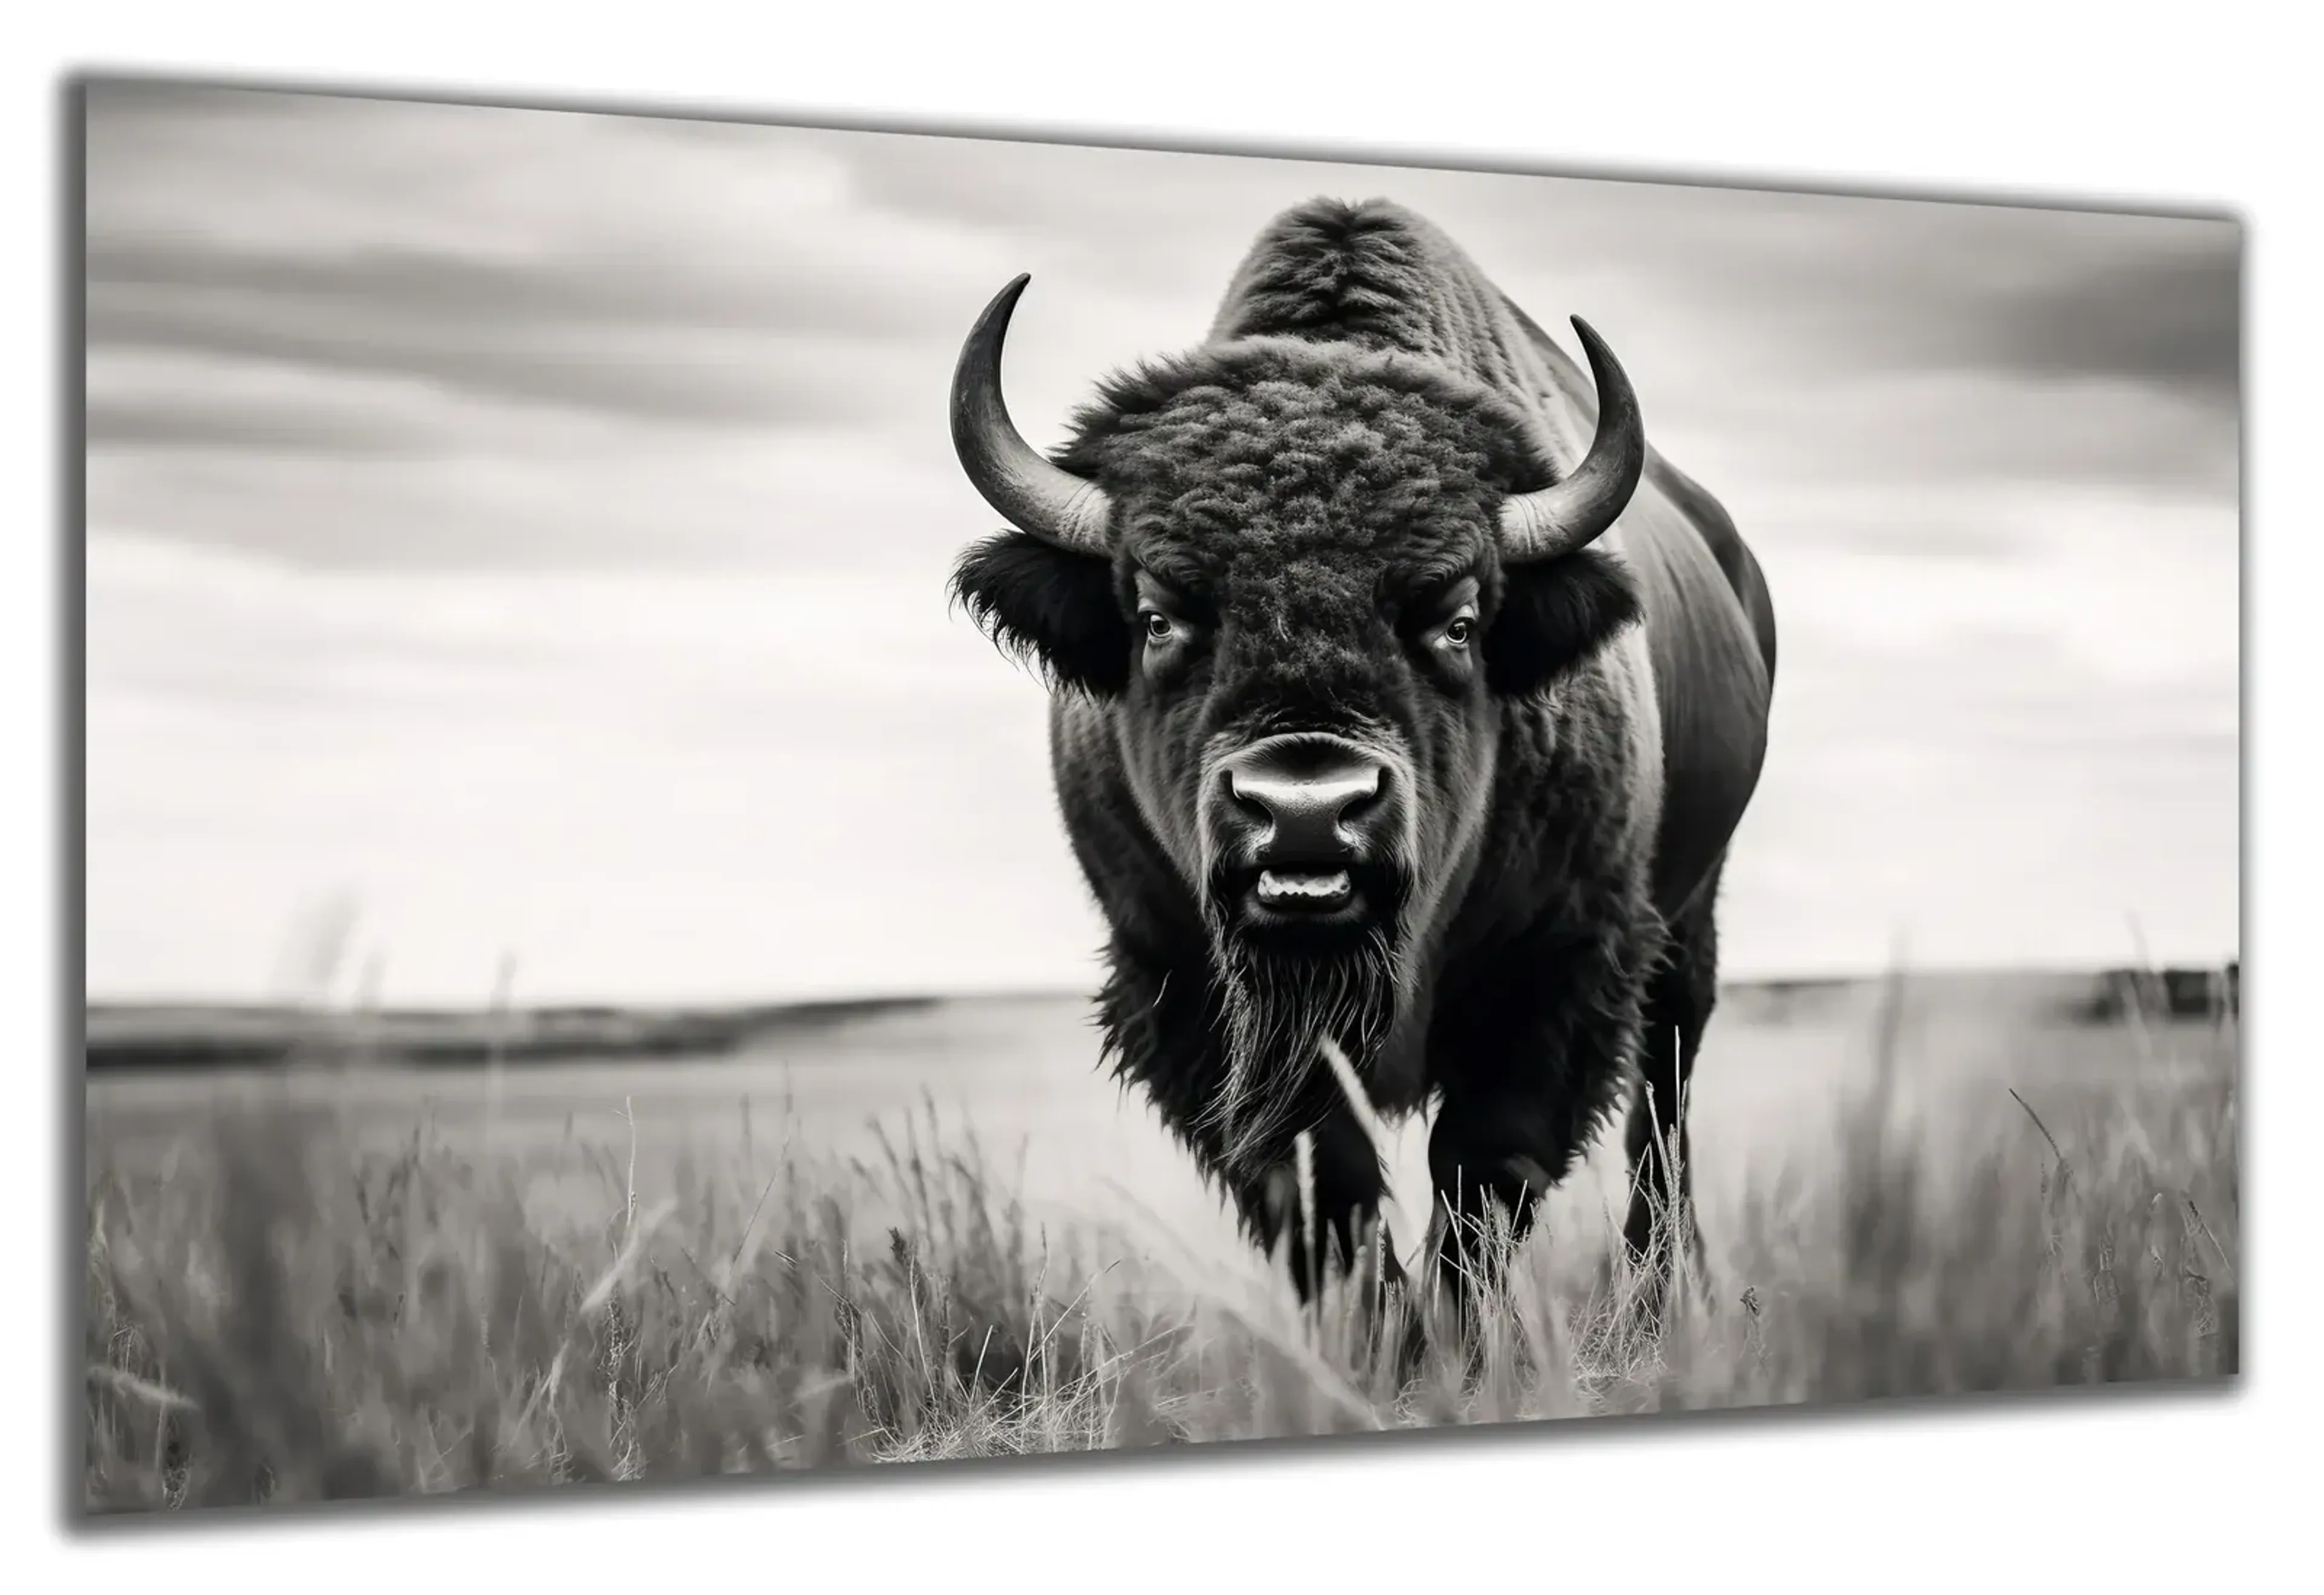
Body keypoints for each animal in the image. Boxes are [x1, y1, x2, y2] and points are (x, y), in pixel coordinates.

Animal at [947, 198, 1776, 1340]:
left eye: (1459, 619)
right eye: (1157, 615)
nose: (1306, 810)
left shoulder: (1556, 967)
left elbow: (1481, 1174)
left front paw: (1451, 1352)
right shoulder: (1189, 992)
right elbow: (1323, 1190)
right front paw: (1382, 1348)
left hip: (1689, 921)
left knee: (1665, 1099)